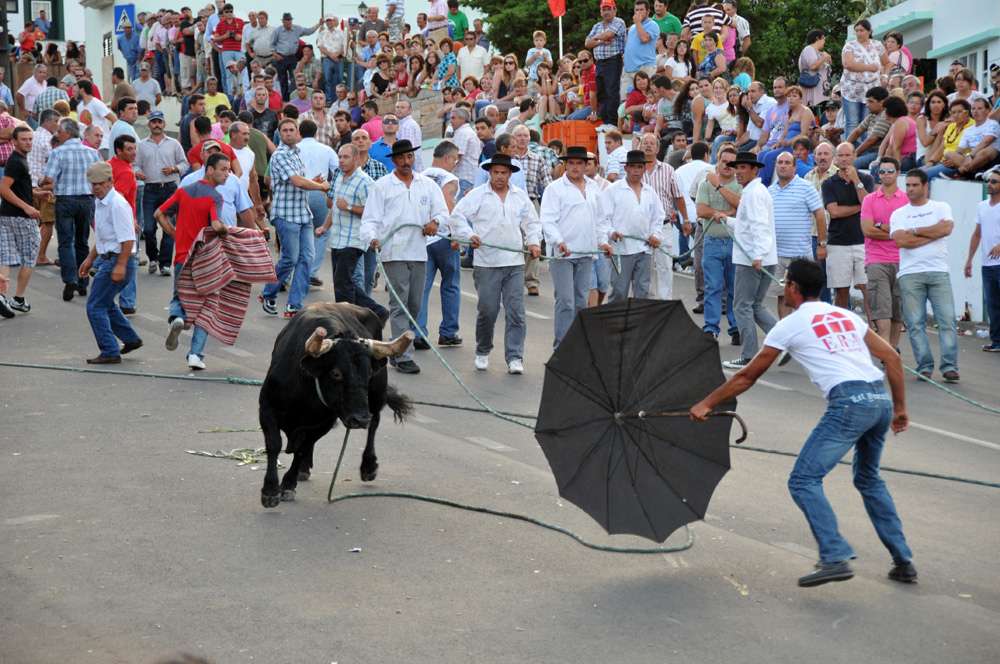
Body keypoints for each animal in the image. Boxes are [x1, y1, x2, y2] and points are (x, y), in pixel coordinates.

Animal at [260, 302, 416, 508]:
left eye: (369, 373)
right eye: (336, 373)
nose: (360, 419)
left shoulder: (324, 423)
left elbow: (301, 449)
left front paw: (287, 485)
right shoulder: (267, 407)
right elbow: (274, 444)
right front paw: (270, 491)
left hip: (376, 397)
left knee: (374, 424)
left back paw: (368, 467)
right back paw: (304, 469)